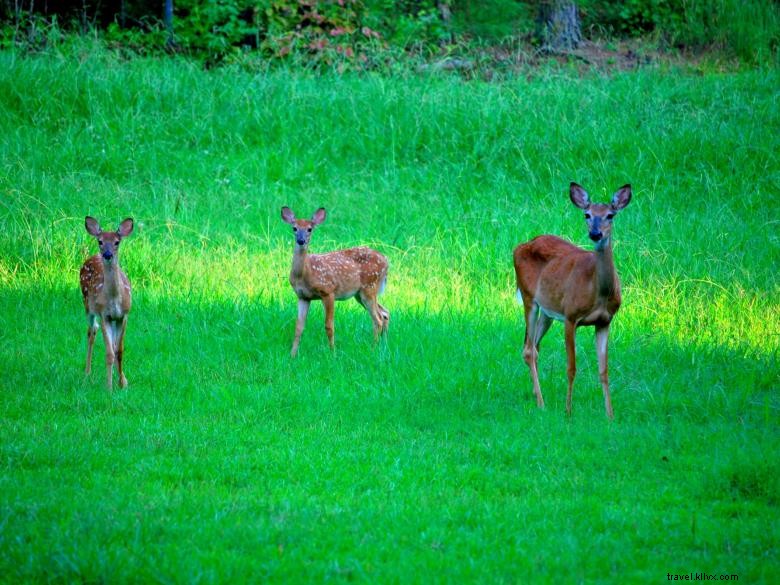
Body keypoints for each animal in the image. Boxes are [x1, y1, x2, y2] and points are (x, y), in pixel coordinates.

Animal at [79, 214, 134, 388]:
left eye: (117, 242)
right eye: (100, 241)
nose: (108, 254)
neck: (115, 299)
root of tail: (92, 256)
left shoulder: (123, 315)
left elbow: (119, 350)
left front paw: (122, 383)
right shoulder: (104, 315)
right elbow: (109, 353)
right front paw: (108, 387)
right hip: (87, 305)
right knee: (91, 331)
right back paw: (87, 373)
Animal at [280, 208, 390, 358]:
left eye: (310, 229)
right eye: (294, 228)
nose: (301, 240)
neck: (305, 273)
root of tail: (386, 262)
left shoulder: (328, 291)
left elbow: (329, 325)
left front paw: (333, 353)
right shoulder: (303, 297)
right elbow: (299, 327)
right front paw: (292, 355)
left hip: (369, 287)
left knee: (377, 318)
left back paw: (373, 348)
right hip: (359, 294)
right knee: (385, 313)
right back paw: (383, 346)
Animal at [512, 181, 632, 416]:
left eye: (610, 215)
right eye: (587, 214)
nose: (595, 233)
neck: (598, 292)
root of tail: (521, 245)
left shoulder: (605, 321)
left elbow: (604, 370)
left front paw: (610, 415)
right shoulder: (570, 315)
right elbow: (571, 367)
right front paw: (568, 412)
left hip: (548, 310)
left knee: (533, 347)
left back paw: (535, 395)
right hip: (530, 298)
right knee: (529, 350)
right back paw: (541, 403)